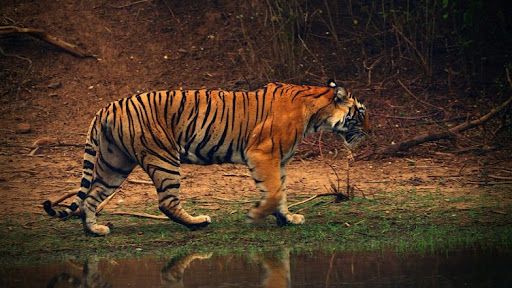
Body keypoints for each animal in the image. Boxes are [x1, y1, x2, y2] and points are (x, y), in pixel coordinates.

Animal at [43, 80, 368, 235]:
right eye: (360, 113)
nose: (368, 132)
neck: (316, 114)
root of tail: (106, 107)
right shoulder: (262, 153)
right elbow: (274, 192)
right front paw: (256, 216)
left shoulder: (280, 161)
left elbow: (281, 192)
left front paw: (287, 218)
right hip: (163, 158)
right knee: (166, 202)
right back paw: (198, 222)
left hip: (115, 163)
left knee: (91, 197)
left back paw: (95, 230)